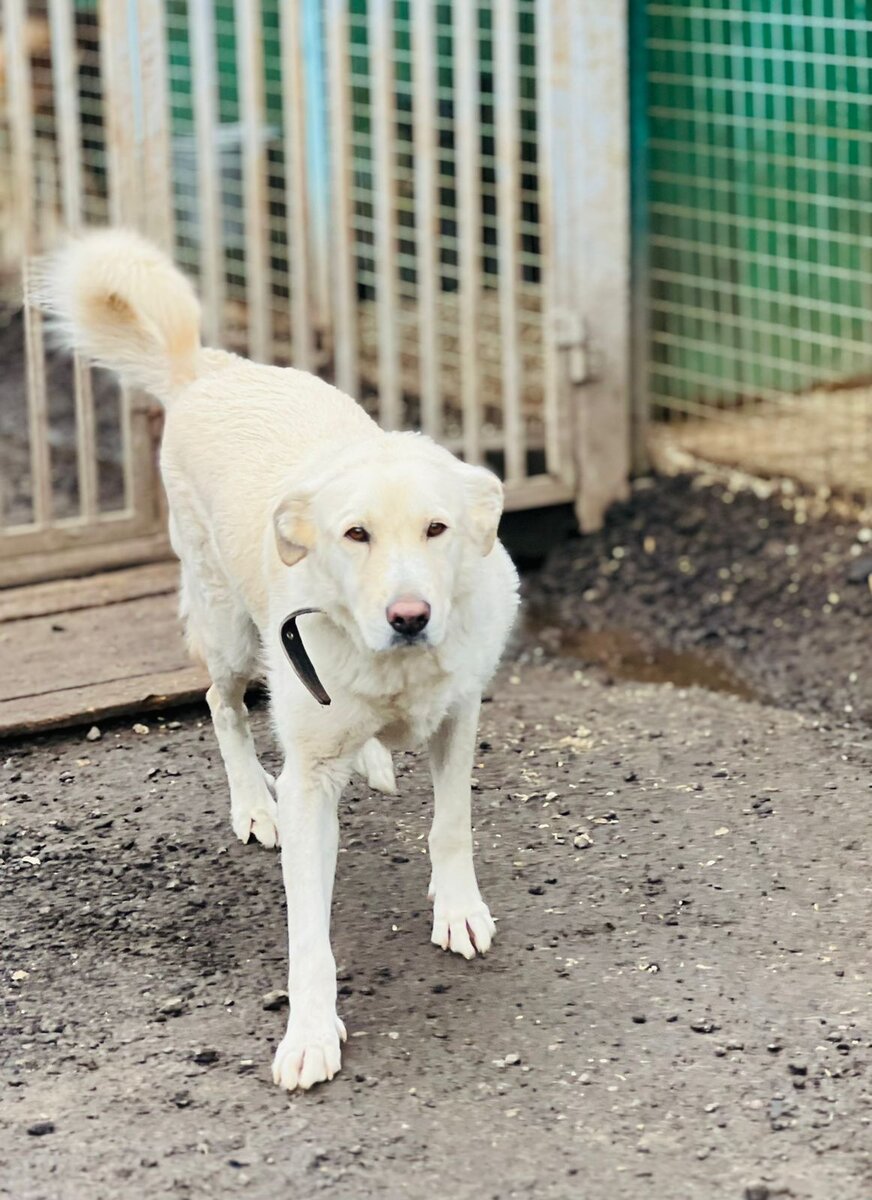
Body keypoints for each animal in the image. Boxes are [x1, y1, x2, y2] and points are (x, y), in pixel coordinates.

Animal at [34, 229, 522, 1094]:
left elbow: (451, 825)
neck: (387, 665)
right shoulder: (308, 787)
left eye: (436, 528)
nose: (410, 618)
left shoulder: (458, 715)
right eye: (355, 534)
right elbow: (308, 933)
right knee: (220, 706)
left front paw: (458, 908)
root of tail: (207, 368)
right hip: (230, 631)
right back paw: (251, 803)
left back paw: (372, 757)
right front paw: (312, 1033)